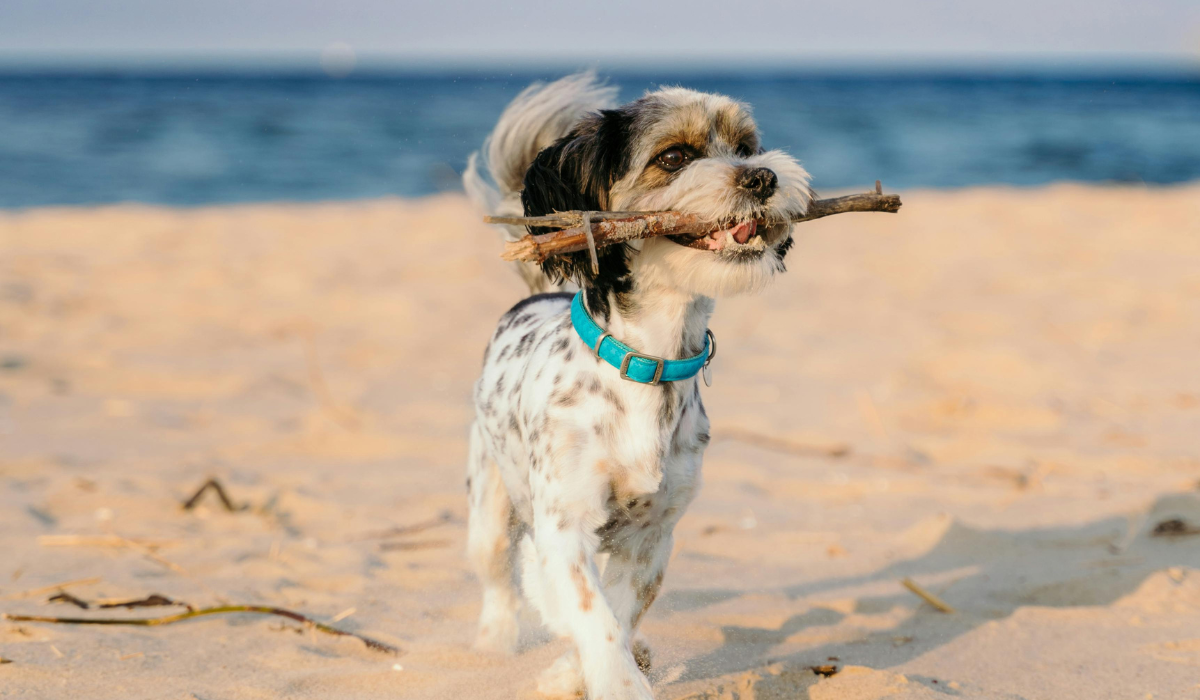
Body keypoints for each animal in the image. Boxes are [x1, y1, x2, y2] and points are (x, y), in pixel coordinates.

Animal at [463, 73, 811, 696]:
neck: (649, 361)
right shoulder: (563, 525)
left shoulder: (654, 534)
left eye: (746, 147)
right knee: (499, 582)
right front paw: (615, 681)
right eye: (673, 158)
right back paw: (495, 644)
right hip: (489, 506)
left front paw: (580, 670)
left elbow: (621, 612)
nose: (763, 176)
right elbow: (589, 612)